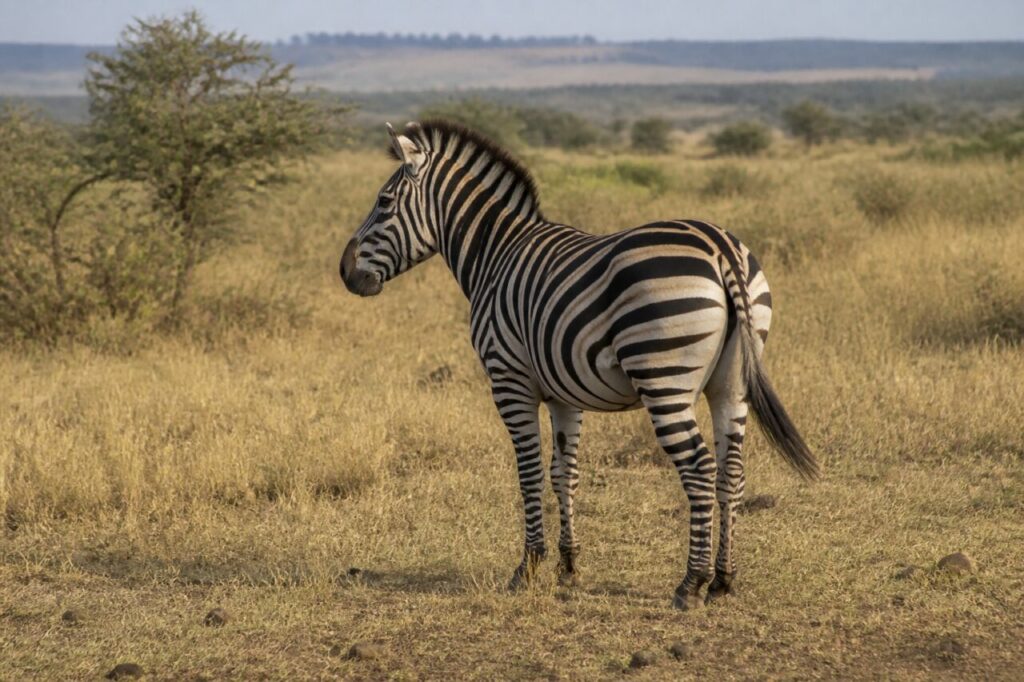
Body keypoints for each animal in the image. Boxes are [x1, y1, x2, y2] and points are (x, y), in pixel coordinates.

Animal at [340, 120, 819, 610]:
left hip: (663, 377)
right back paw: (723, 579)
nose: (345, 272)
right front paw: (568, 567)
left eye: (383, 202)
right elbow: (563, 473)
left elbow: (529, 472)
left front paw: (528, 566)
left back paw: (691, 583)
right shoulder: (563, 394)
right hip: (731, 382)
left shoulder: (510, 380)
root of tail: (722, 248)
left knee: (700, 469)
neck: (495, 254)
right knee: (731, 472)